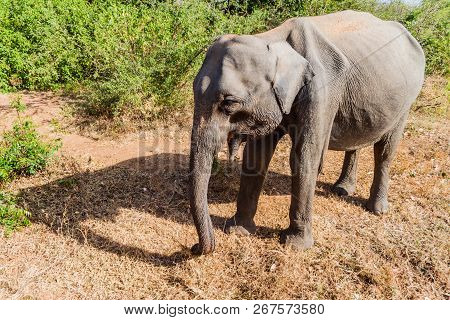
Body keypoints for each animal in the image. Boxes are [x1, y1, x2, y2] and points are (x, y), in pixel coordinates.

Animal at [187, 10, 426, 255]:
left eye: (229, 103)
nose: (194, 247)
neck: (273, 40)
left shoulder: (321, 92)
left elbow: (304, 157)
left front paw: (295, 245)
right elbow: (257, 157)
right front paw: (238, 230)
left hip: (408, 98)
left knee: (385, 150)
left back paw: (377, 209)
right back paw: (342, 190)